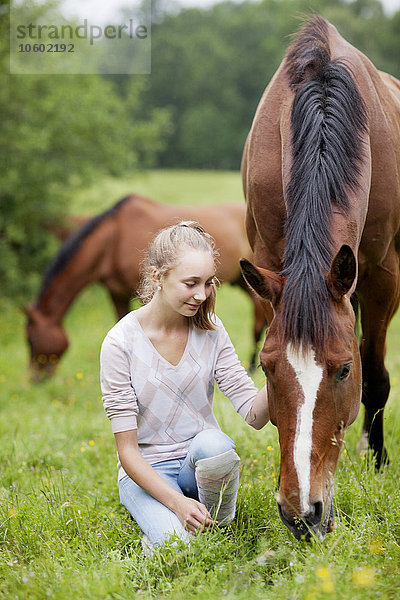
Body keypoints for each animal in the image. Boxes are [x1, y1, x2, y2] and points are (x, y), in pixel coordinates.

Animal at [25, 195, 268, 378]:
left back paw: (252, 367)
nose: (36, 378)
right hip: (244, 281)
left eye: (31, 339)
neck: (114, 240)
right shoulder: (117, 293)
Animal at [239, 15, 400, 540]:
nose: (302, 513)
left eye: (343, 369)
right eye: (267, 366)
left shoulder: (382, 277)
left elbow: (376, 379)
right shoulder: (269, 265)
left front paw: (378, 462)